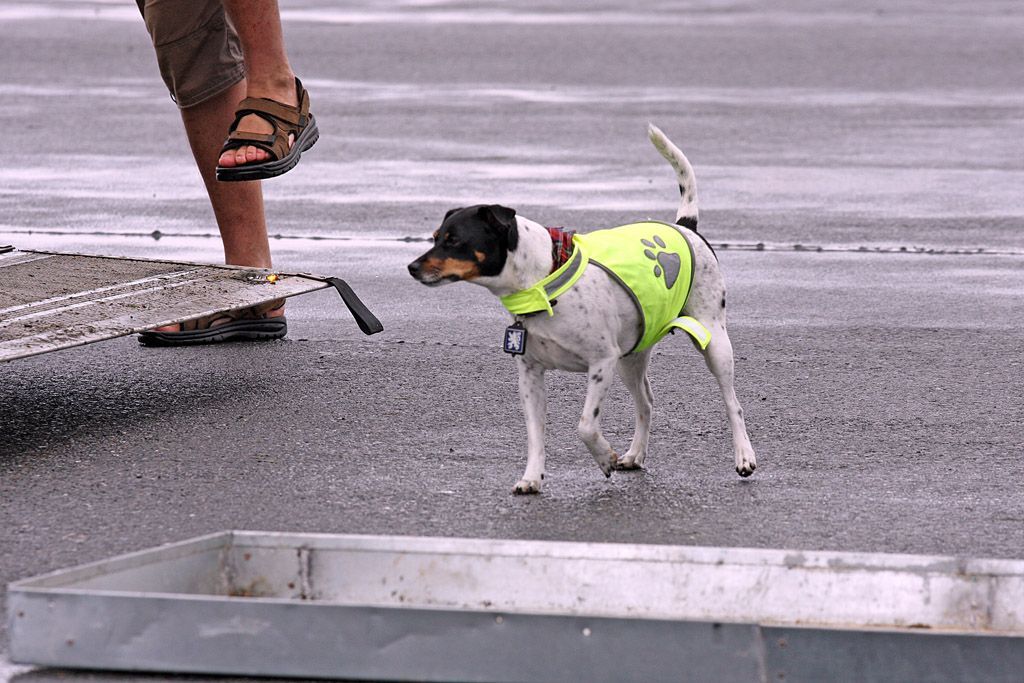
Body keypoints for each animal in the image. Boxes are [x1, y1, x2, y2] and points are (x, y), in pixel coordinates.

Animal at [405, 125, 753, 493]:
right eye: (435, 237)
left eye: (454, 240)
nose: (412, 267)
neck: (543, 280)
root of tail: (686, 226)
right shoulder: (531, 375)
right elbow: (535, 435)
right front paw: (532, 478)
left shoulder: (601, 363)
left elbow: (585, 425)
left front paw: (604, 458)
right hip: (631, 356)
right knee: (646, 402)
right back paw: (635, 455)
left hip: (713, 342)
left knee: (733, 404)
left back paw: (744, 457)